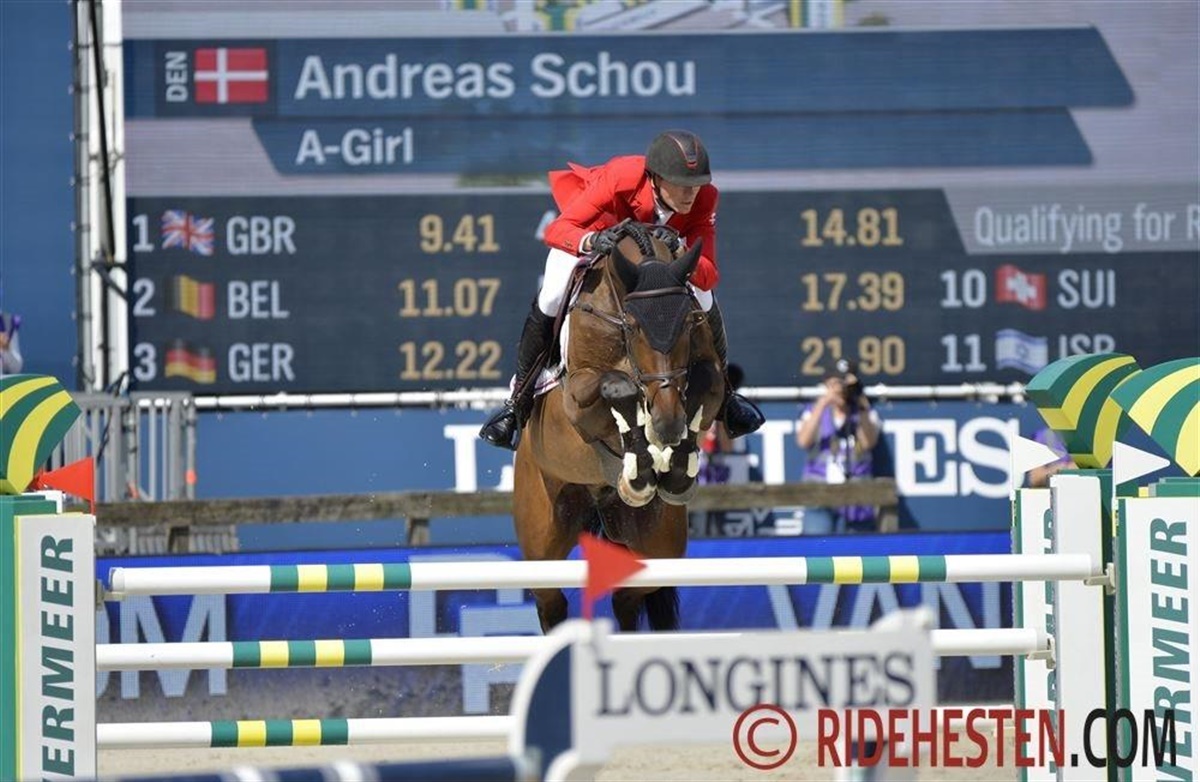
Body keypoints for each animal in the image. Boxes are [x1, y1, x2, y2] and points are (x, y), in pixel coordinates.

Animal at [512, 224, 725, 633]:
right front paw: (643, 458)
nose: (667, 422)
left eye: (688, 323)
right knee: (550, 601)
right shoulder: (577, 397)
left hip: (657, 543)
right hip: (542, 533)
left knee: (627, 594)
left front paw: (674, 468)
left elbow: (703, 384)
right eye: (633, 326)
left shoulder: (709, 379)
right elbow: (618, 386)